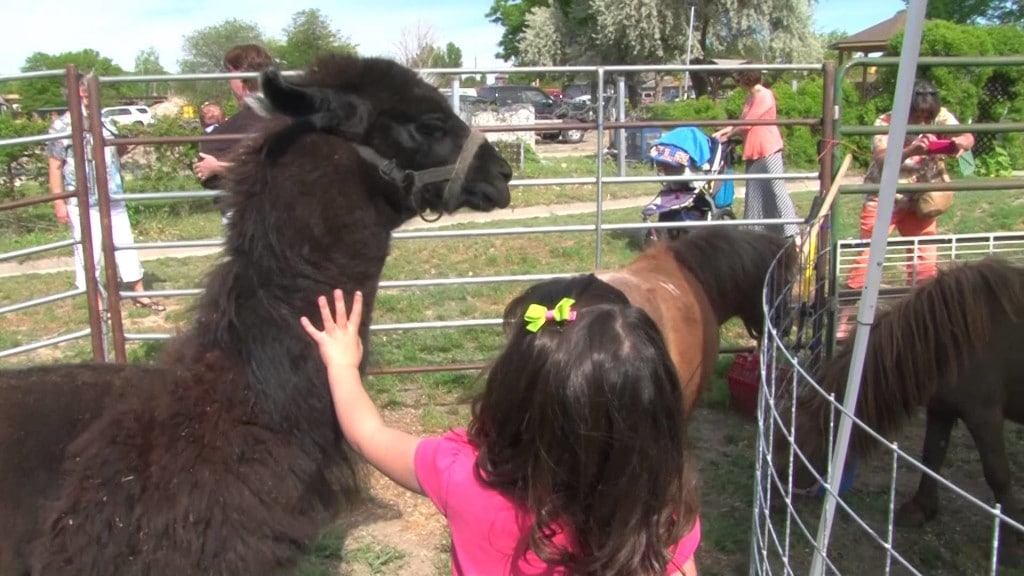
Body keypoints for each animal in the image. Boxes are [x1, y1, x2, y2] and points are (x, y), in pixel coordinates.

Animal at [774, 258, 1024, 561]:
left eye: (799, 447)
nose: (773, 499)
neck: (948, 334)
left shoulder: (983, 414)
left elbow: (997, 473)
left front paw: (1009, 543)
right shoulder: (941, 409)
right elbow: (931, 458)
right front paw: (919, 510)